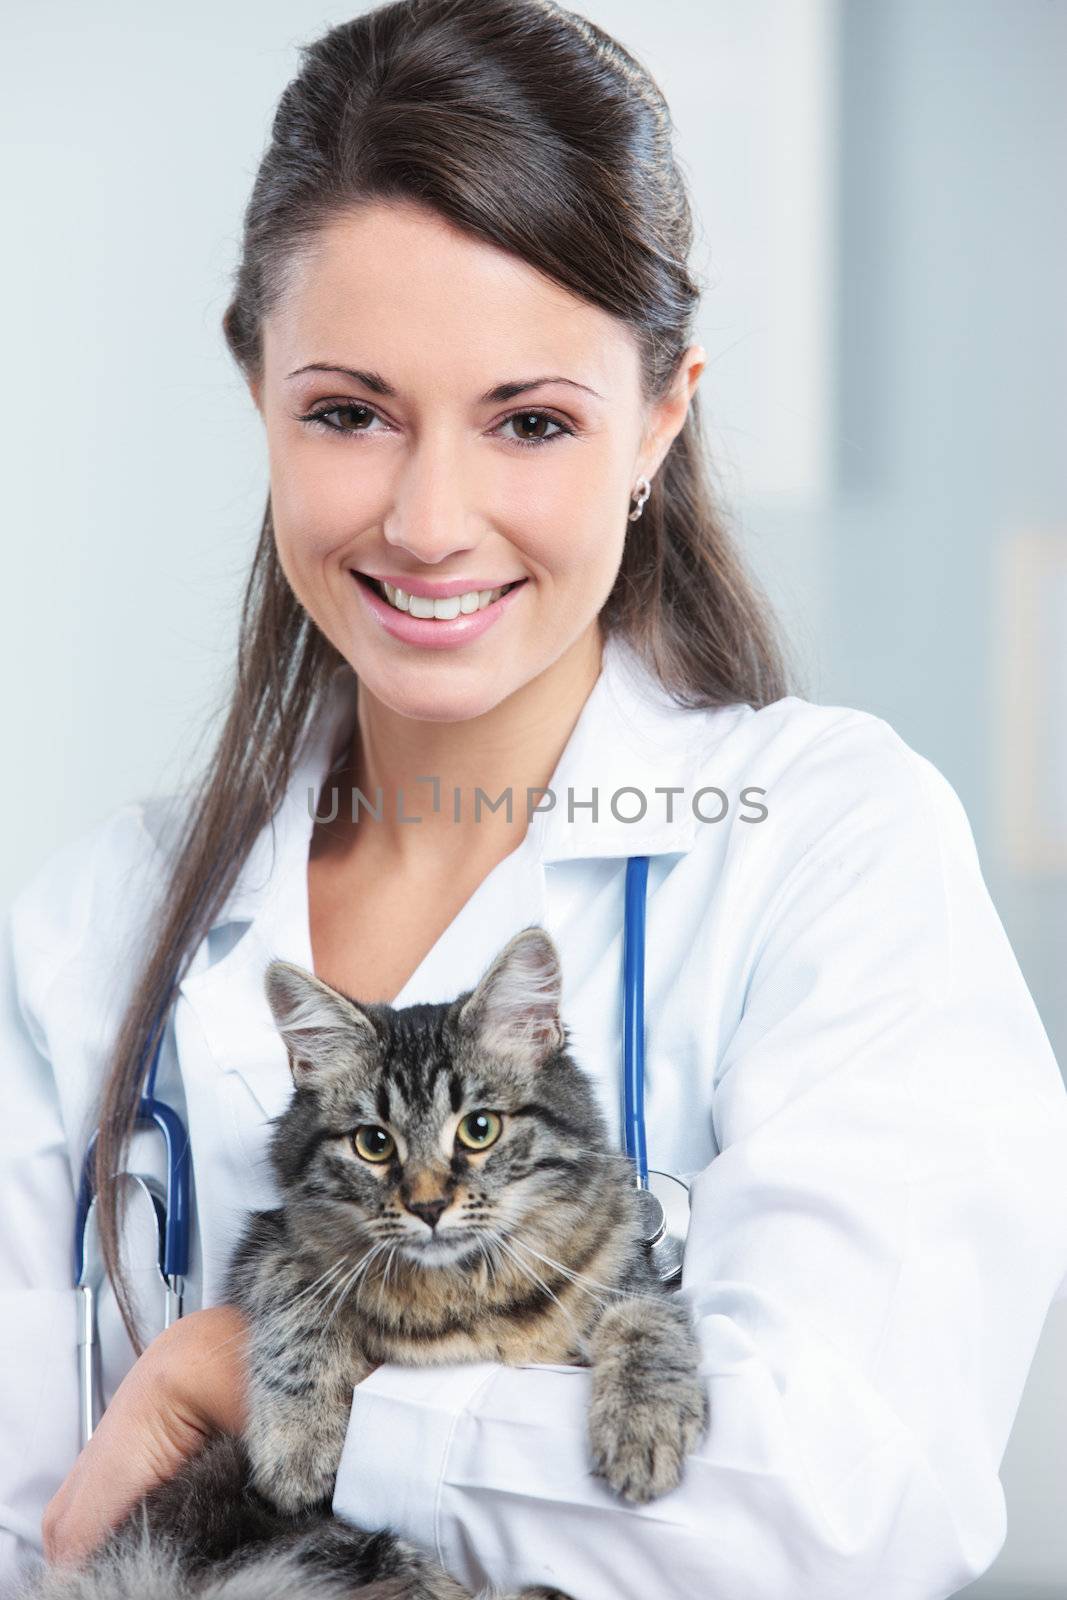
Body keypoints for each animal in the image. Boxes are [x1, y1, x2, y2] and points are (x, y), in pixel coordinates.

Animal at [27, 928, 710, 1600]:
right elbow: (299, 1316)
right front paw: (299, 1444)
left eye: (479, 1129)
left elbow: (648, 1323)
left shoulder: (628, 1274)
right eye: (374, 1143)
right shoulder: (271, 1244)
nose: (429, 1206)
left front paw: (644, 1424)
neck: (462, 1291)